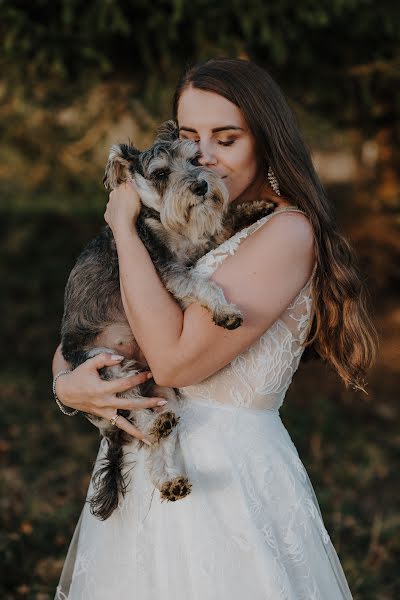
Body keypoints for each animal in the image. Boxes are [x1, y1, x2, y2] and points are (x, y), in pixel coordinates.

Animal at [61, 119, 276, 516]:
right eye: (160, 173)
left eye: (195, 160)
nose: (201, 185)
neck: (164, 220)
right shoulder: (168, 268)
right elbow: (203, 285)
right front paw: (225, 311)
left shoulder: (199, 245)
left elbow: (223, 226)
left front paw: (257, 206)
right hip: (106, 365)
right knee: (138, 419)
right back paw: (155, 428)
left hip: (164, 395)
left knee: (155, 446)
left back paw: (170, 479)